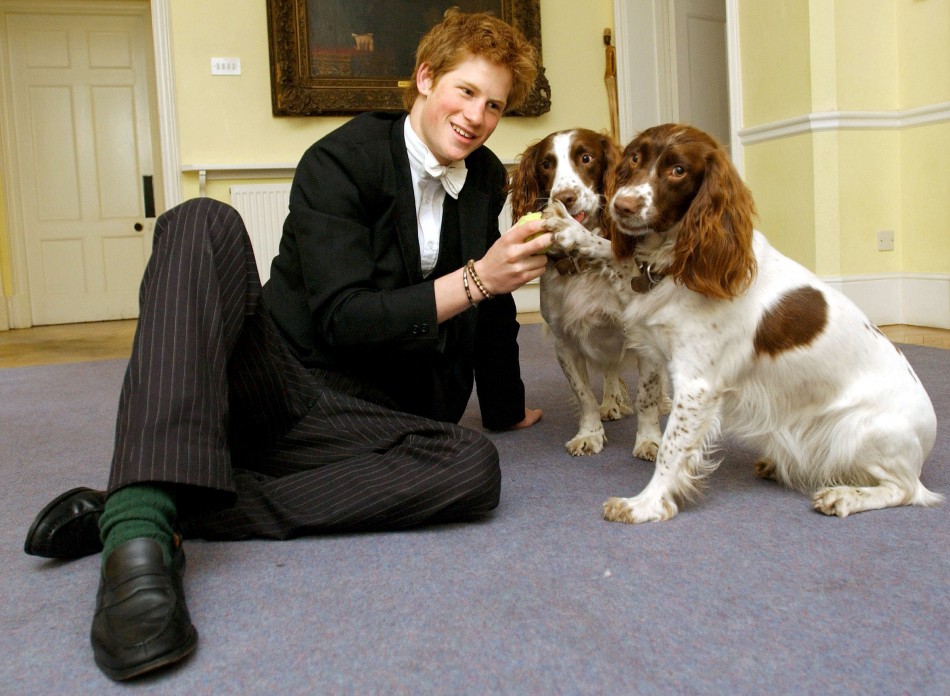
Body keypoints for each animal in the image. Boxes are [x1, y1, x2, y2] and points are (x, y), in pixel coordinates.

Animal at [512, 129, 660, 456]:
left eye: (586, 157)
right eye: (546, 164)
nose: (564, 198)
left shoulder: (645, 339)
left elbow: (647, 396)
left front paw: (649, 440)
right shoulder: (565, 342)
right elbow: (584, 395)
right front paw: (590, 434)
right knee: (610, 369)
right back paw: (610, 403)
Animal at [544, 122, 944, 520]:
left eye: (678, 170)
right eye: (635, 158)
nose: (621, 205)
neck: (683, 260)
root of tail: (928, 435)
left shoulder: (697, 385)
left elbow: (670, 449)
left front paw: (645, 504)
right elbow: (614, 254)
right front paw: (573, 231)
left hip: (861, 432)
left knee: (905, 489)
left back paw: (843, 496)